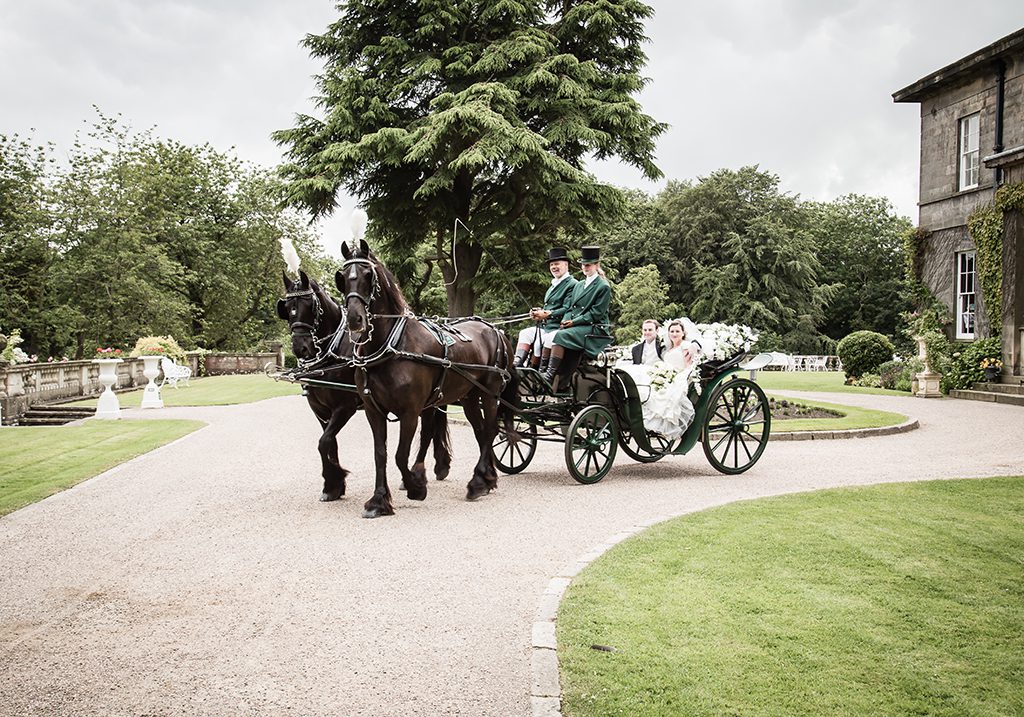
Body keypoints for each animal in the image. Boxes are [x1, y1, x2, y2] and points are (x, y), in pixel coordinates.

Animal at [276, 272, 448, 501]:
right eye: (287, 308)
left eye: (310, 304)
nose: (300, 348)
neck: (334, 350)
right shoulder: (320, 410)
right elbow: (329, 443)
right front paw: (333, 486)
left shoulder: (345, 407)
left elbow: (324, 442)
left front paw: (335, 478)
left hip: (426, 403)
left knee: (427, 432)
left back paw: (416, 477)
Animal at [337, 239, 520, 516]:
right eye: (343, 277)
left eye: (369, 275)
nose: (354, 319)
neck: (393, 346)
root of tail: (495, 329)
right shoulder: (373, 410)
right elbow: (380, 454)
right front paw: (379, 500)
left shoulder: (410, 411)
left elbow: (400, 455)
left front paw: (416, 487)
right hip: (469, 397)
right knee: (480, 432)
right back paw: (487, 479)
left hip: (490, 393)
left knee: (489, 431)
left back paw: (477, 482)